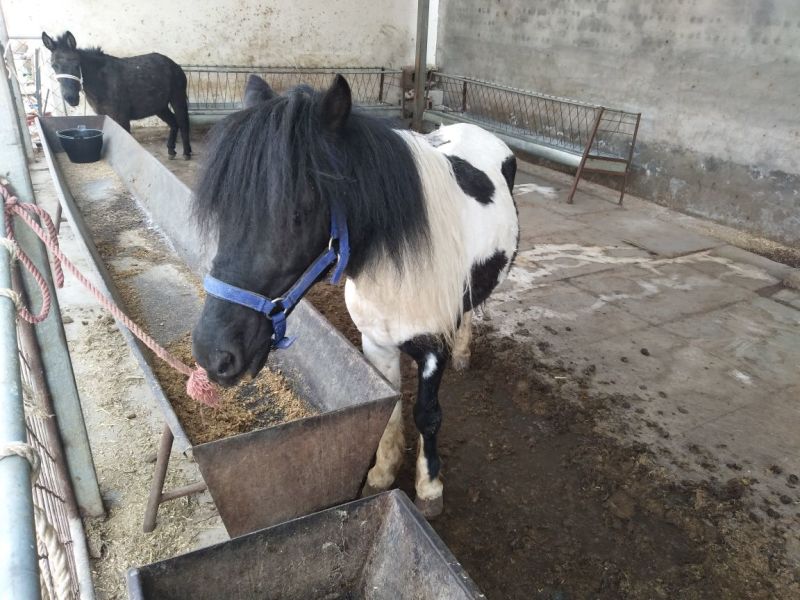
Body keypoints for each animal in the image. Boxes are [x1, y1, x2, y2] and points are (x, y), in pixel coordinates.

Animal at [42, 31, 192, 159]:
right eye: (54, 65)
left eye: (76, 64)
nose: (71, 98)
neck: (103, 81)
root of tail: (174, 65)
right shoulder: (106, 116)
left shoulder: (122, 118)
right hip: (160, 107)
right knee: (174, 123)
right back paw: (171, 150)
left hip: (177, 99)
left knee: (183, 123)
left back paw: (186, 152)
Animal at [191, 73, 519, 517]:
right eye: (224, 210)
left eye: (298, 212)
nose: (213, 354)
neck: (397, 270)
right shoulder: (376, 342)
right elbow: (392, 405)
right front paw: (381, 473)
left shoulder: (433, 349)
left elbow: (427, 414)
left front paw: (429, 487)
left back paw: (465, 352)